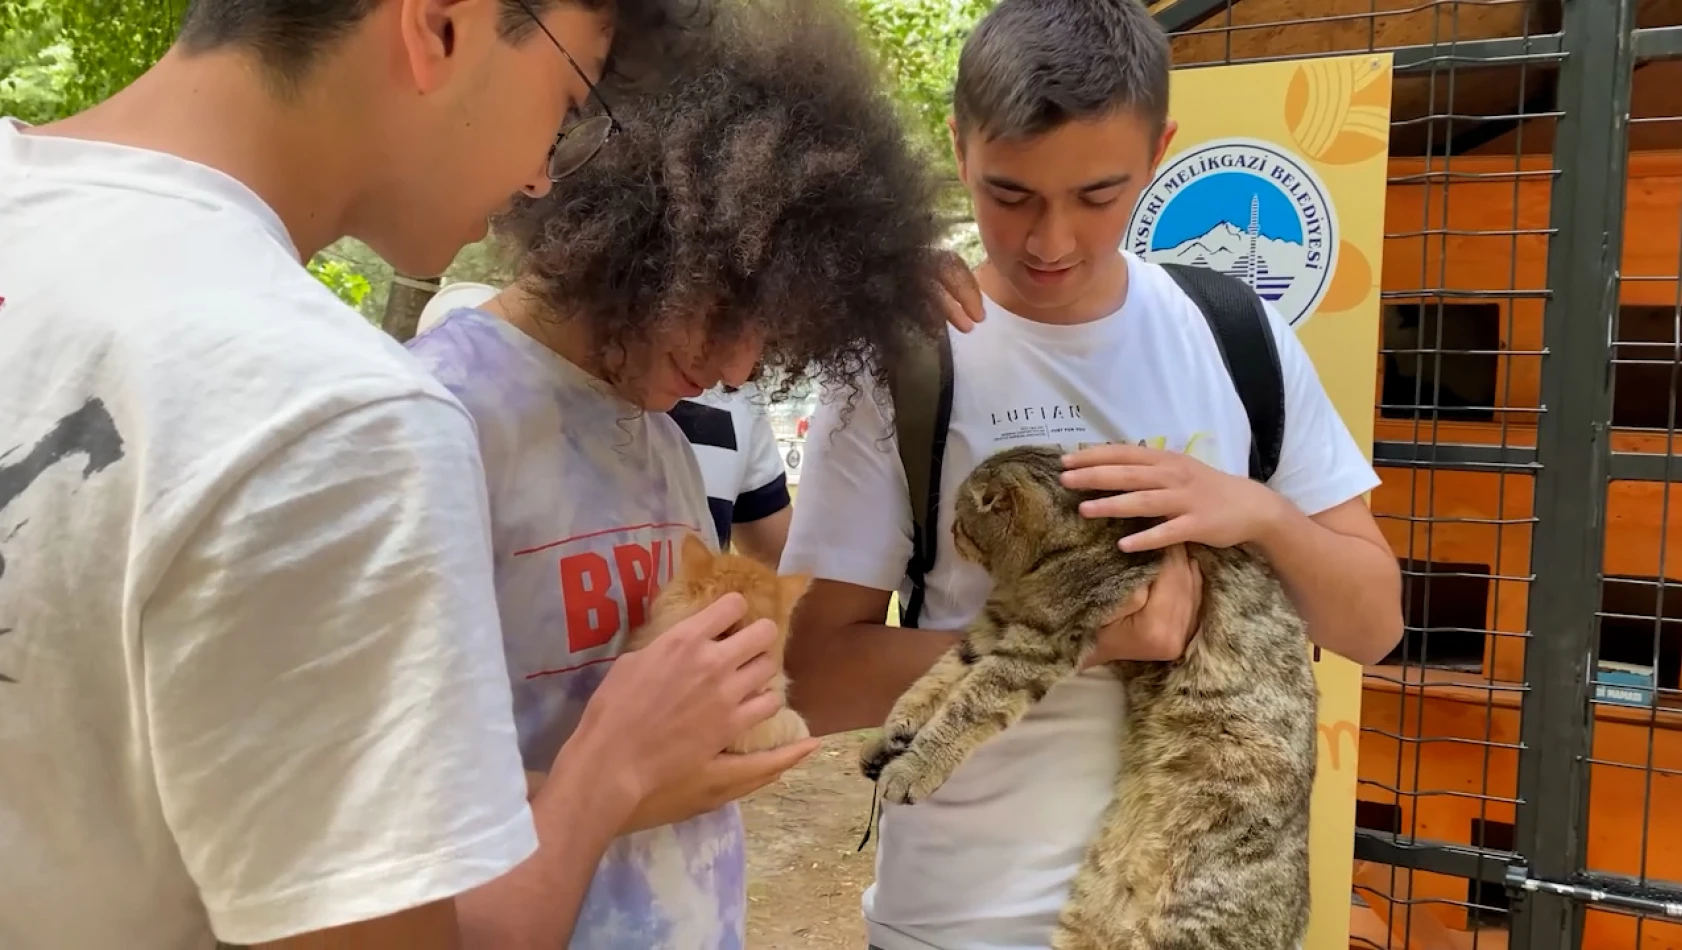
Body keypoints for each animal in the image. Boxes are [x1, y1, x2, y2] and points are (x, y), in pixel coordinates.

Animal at [861, 443, 1318, 948]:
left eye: (960, 521)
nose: (950, 535)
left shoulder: (1034, 646)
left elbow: (967, 706)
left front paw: (914, 765)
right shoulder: (993, 627)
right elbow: (938, 676)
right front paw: (895, 730)